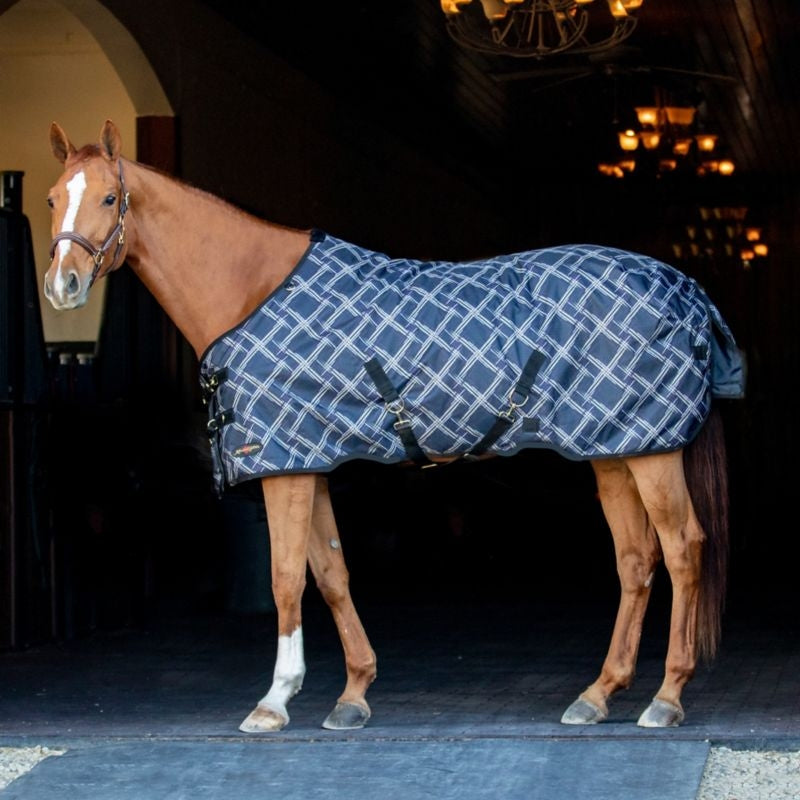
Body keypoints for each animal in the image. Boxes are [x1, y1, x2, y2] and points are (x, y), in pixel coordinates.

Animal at [43, 119, 744, 732]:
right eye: (52, 198)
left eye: (109, 197)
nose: (62, 285)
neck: (252, 290)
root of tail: (685, 287)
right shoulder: (309, 463)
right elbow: (331, 574)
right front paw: (352, 694)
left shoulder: (284, 467)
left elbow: (285, 578)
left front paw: (274, 701)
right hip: (614, 451)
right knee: (636, 559)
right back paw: (598, 695)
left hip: (652, 453)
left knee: (682, 550)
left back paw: (666, 698)